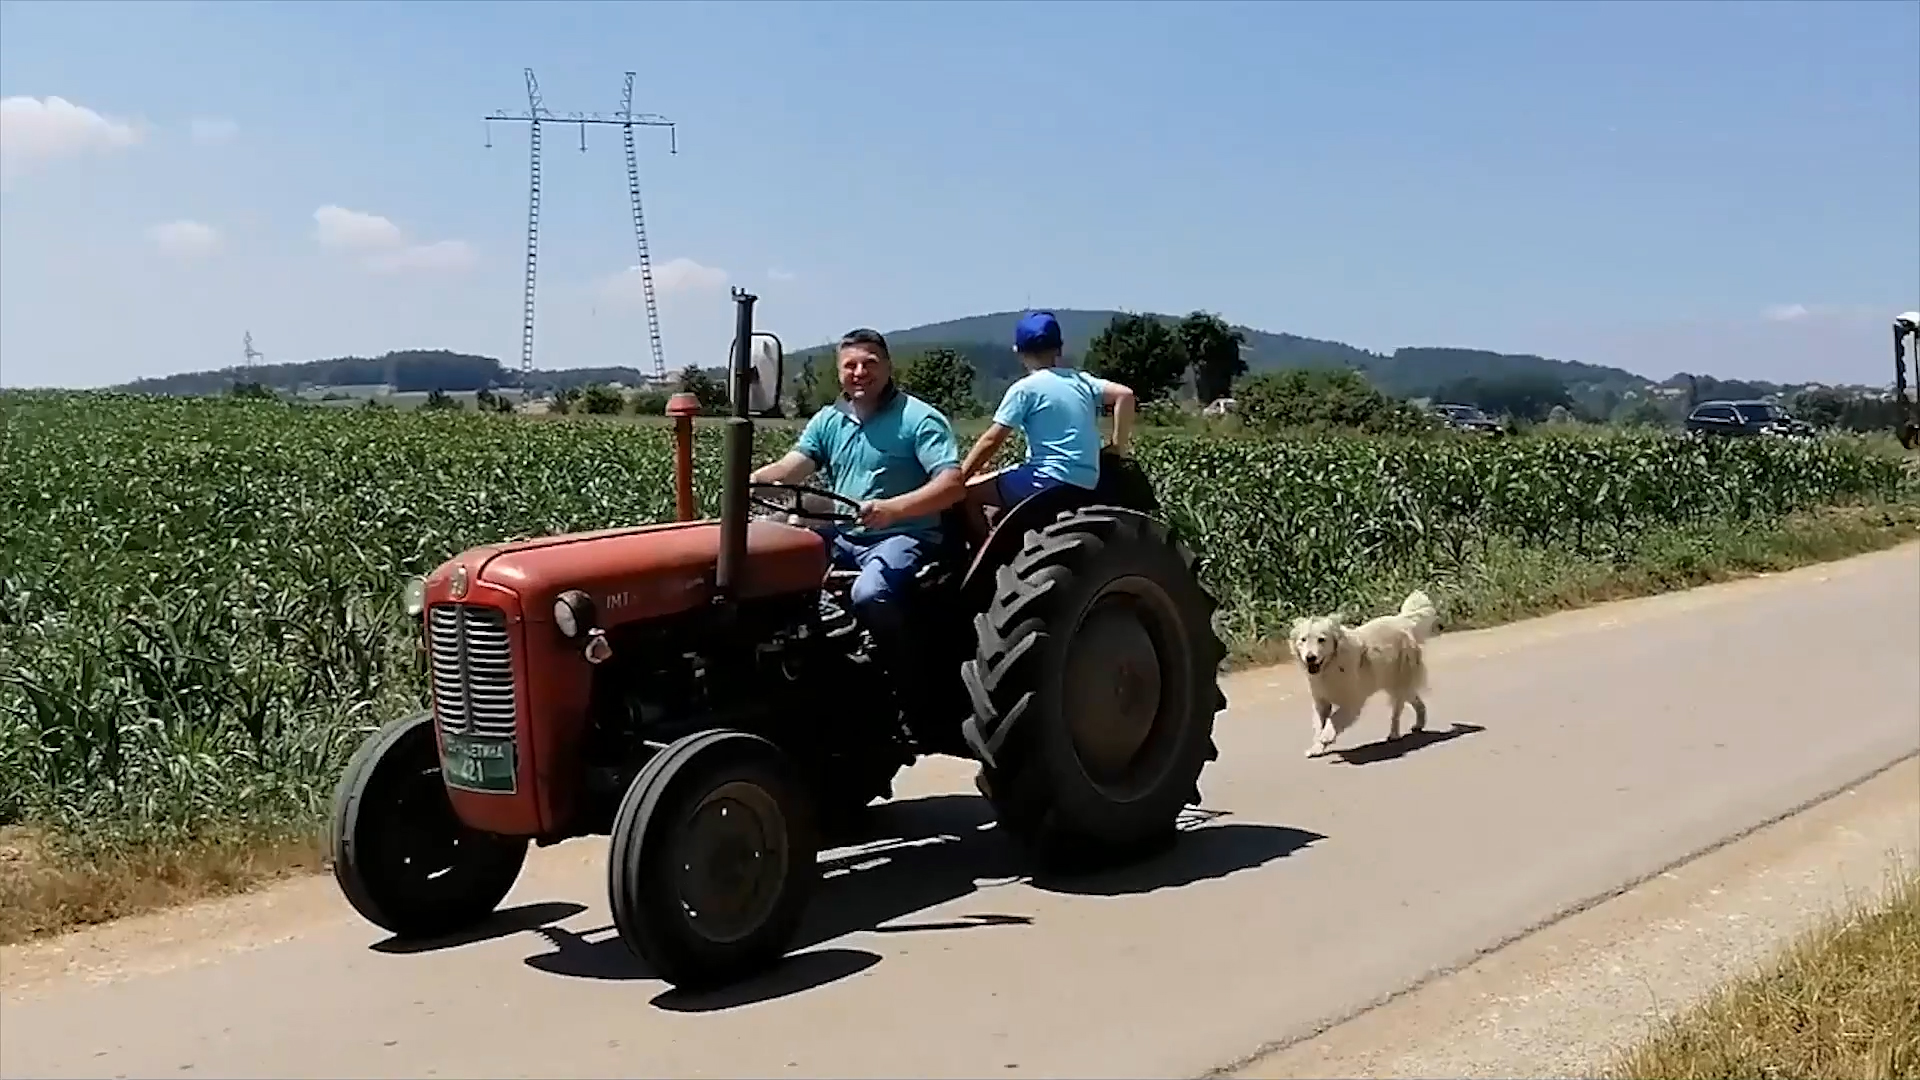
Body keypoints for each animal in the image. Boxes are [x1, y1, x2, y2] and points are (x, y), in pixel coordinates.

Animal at [1290, 588, 1443, 757]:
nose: (1310, 657)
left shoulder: (1352, 702)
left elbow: (1334, 719)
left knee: (1397, 711)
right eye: (1303, 639)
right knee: (1416, 701)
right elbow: (1319, 724)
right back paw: (1419, 724)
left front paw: (1326, 736)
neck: (1330, 666)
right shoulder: (1320, 701)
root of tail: (1401, 621)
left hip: (1398, 682)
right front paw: (1316, 747)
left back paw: (1394, 734)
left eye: (1321, 639)